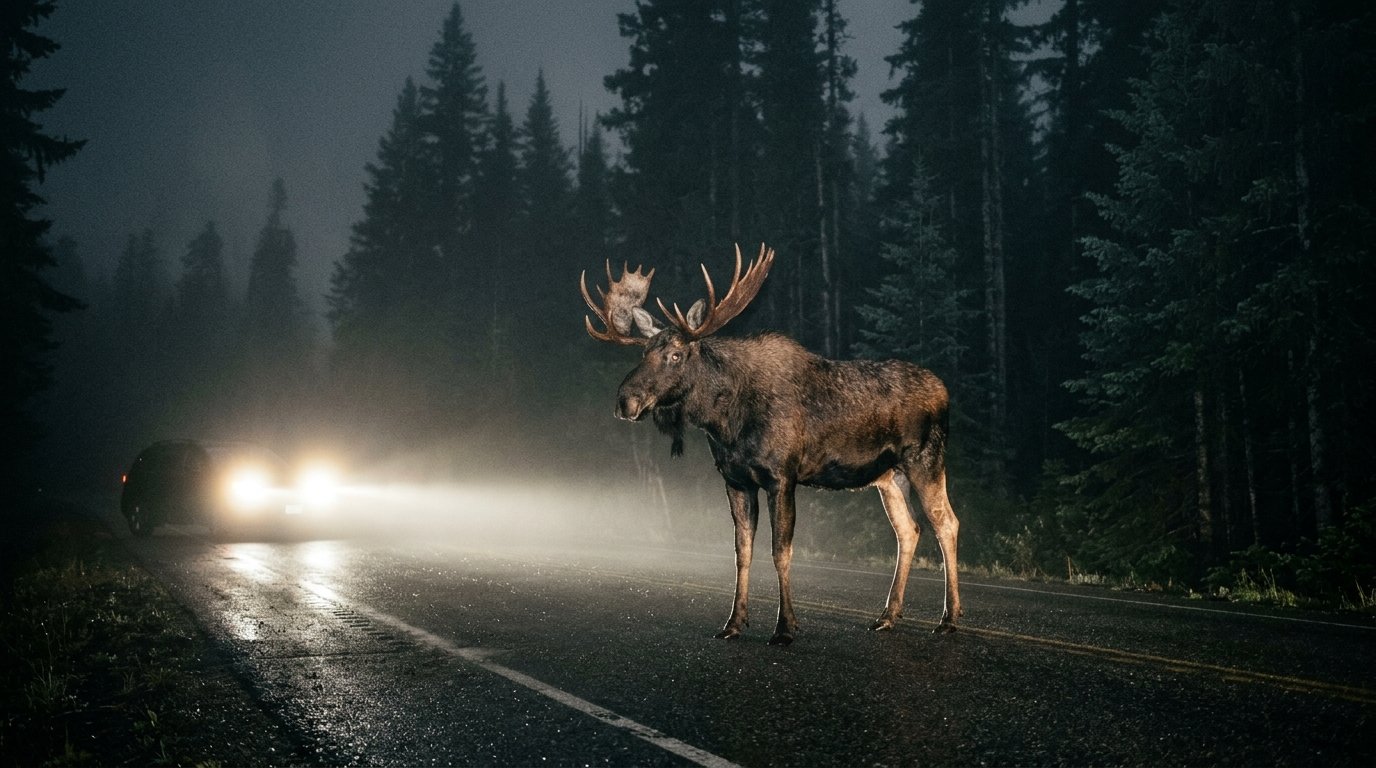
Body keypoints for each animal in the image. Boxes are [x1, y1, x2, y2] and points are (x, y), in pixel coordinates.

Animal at [580, 244, 962, 645]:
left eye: (675, 355)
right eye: (644, 354)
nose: (625, 401)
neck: (725, 421)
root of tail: (944, 391)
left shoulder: (782, 475)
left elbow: (781, 551)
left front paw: (785, 627)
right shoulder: (736, 480)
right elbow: (742, 552)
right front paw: (734, 622)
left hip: (927, 460)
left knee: (946, 523)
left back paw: (949, 618)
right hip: (889, 476)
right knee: (909, 530)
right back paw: (888, 615)